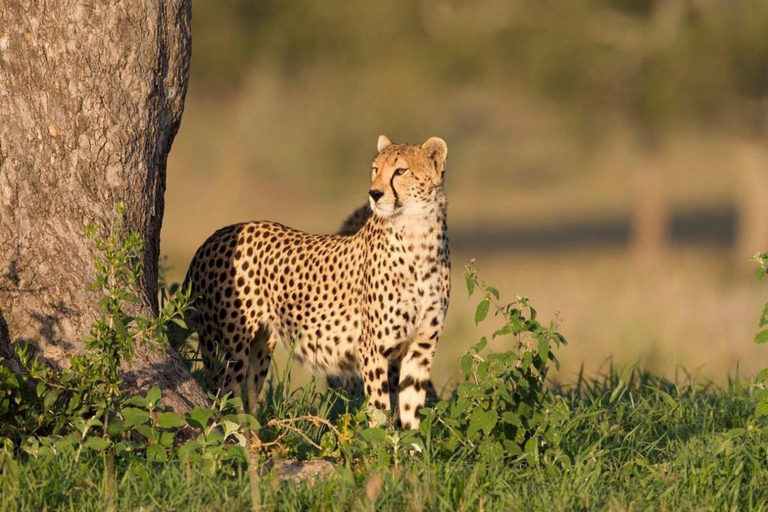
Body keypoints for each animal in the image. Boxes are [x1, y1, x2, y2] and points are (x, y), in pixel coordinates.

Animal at [186, 136, 450, 428]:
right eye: (375, 169)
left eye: (400, 171)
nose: (374, 194)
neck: (418, 235)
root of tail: (214, 237)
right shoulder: (373, 351)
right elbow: (380, 411)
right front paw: (384, 437)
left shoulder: (421, 348)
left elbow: (411, 410)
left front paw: (411, 441)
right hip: (227, 349)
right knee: (222, 401)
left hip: (259, 348)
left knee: (247, 401)